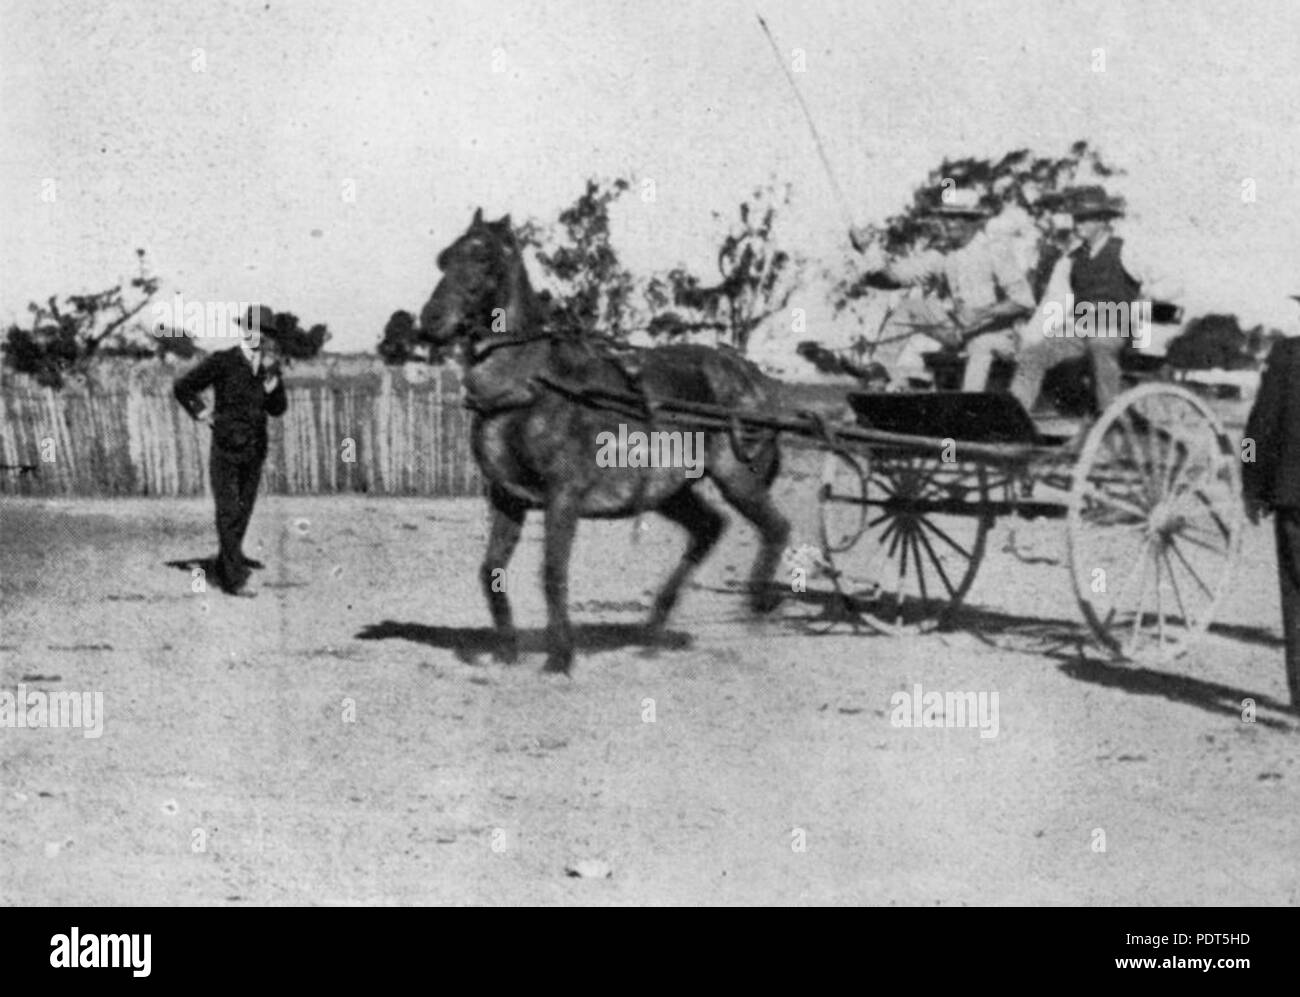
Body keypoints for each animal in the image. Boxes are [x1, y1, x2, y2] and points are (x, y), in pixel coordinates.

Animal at [421, 210, 790, 675]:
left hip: (737, 475)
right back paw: (653, 630)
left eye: (484, 258)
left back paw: (756, 607)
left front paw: (560, 657)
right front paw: (507, 652)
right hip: (671, 491)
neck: (530, 385)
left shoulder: (564, 495)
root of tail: (759, 380)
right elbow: (491, 569)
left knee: (776, 529)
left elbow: (552, 572)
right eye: (443, 258)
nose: (429, 323)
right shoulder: (507, 496)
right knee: (709, 528)